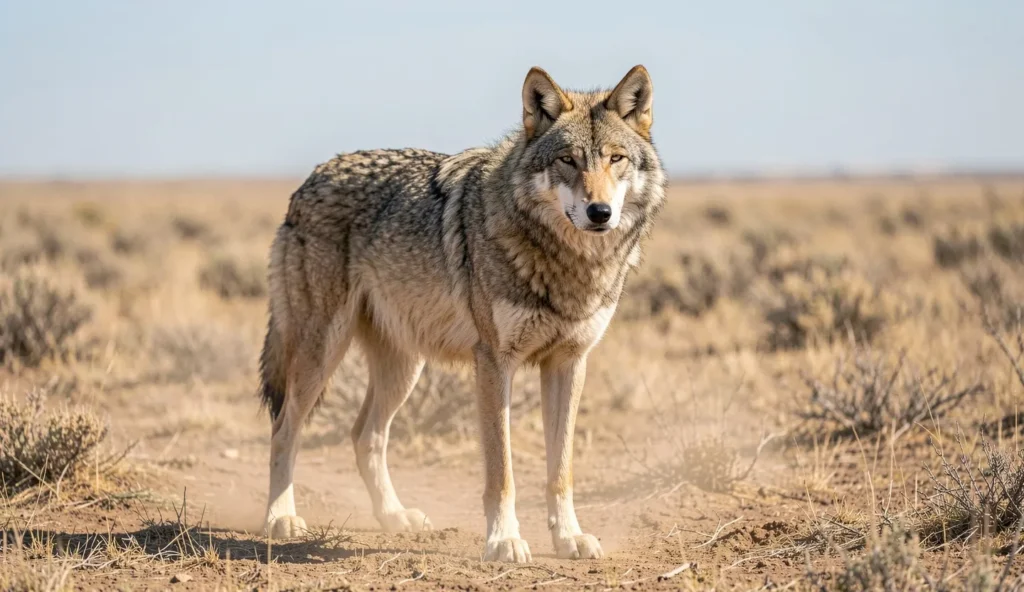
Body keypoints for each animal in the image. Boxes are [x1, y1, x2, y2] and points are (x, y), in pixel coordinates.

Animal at [258, 64, 666, 563]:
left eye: (616, 159)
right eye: (567, 160)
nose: (600, 212)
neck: (569, 266)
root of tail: (311, 178)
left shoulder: (569, 363)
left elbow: (561, 470)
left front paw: (569, 537)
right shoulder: (493, 362)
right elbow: (501, 472)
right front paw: (504, 540)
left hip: (404, 368)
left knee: (364, 435)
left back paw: (394, 517)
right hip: (323, 353)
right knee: (284, 428)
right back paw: (279, 518)